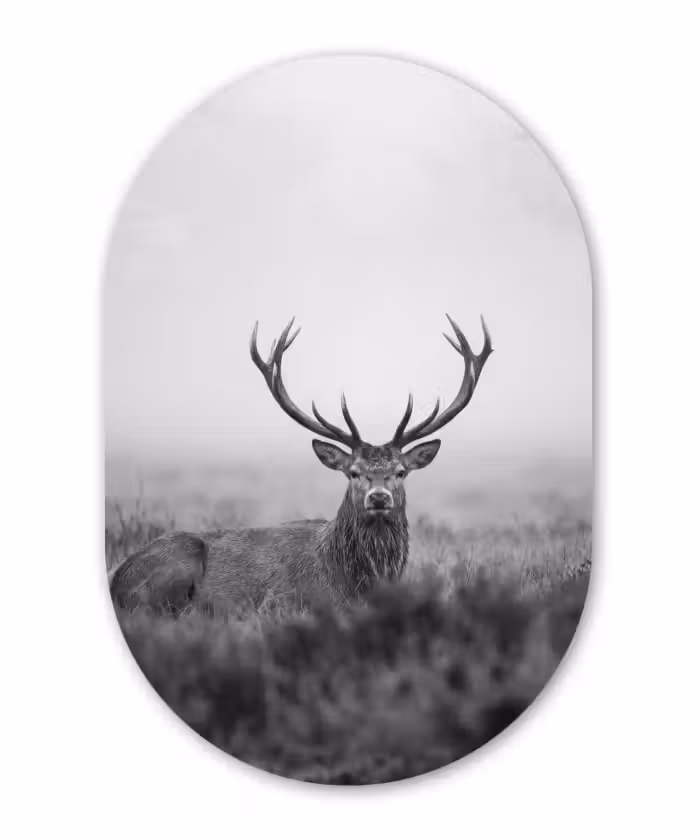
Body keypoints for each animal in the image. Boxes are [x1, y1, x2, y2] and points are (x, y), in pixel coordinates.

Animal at [109, 314, 493, 613]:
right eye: (353, 473)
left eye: (400, 472)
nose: (379, 497)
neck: (354, 579)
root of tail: (116, 580)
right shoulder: (280, 601)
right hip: (175, 566)